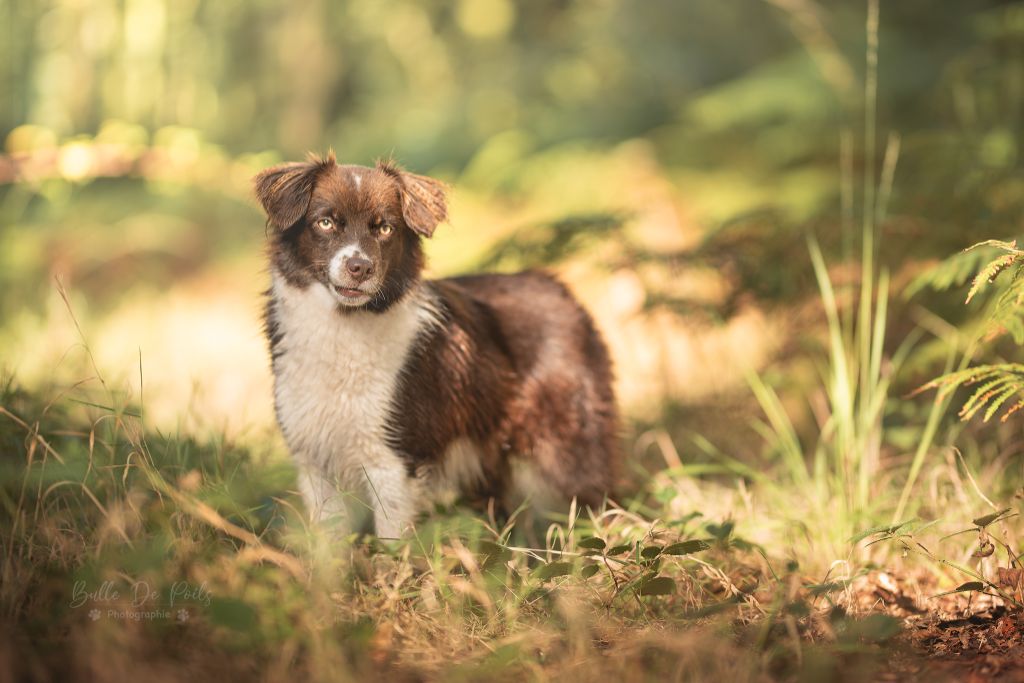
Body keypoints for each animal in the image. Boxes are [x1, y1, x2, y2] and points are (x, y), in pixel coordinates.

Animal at [256, 153, 618, 540]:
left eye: (385, 229)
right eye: (325, 222)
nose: (359, 267)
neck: (342, 326)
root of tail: (559, 287)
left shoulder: (394, 459)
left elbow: (391, 542)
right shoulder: (313, 461)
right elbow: (331, 540)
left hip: (566, 448)